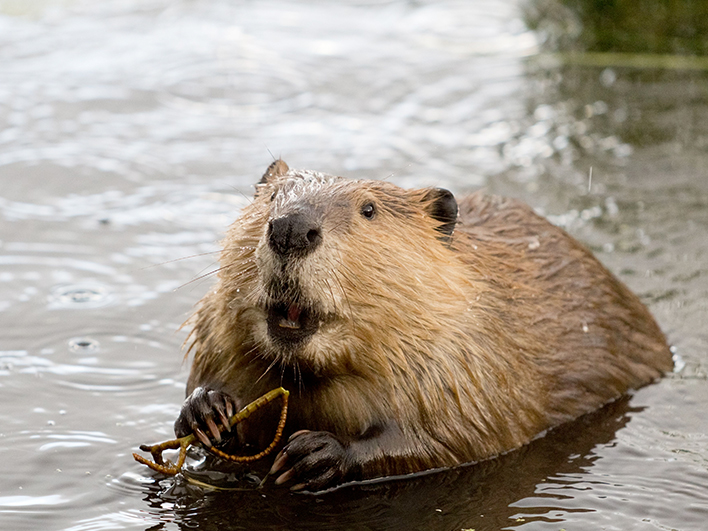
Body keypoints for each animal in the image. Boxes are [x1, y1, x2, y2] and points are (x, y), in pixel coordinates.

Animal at [174, 160, 672, 492]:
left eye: (369, 209)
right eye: (273, 197)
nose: (292, 229)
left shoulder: (469, 359)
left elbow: (458, 437)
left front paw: (314, 454)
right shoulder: (216, 334)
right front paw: (207, 410)